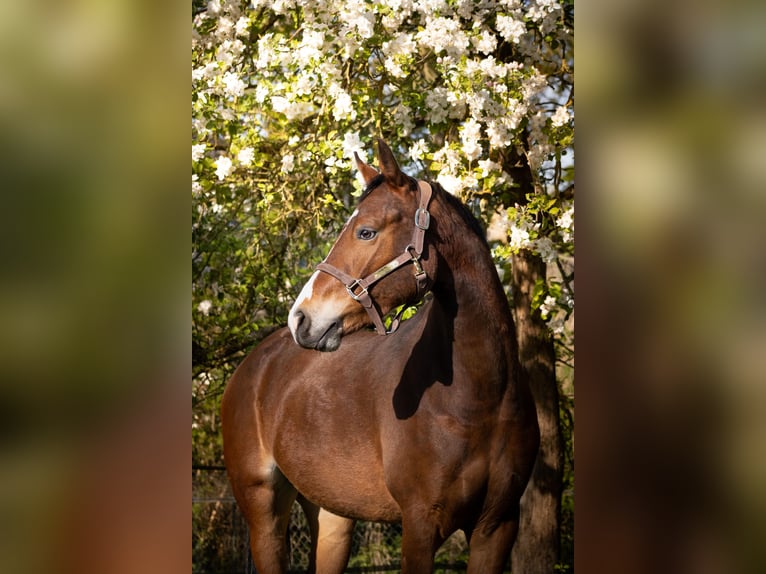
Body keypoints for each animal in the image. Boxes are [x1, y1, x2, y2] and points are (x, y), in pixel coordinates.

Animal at [221, 139, 539, 573]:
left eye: (366, 231)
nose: (301, 319)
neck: (480, 397)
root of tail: (253, 366)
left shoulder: (497, 526)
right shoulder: (420, 523)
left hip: (333, 516)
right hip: (263, 511)